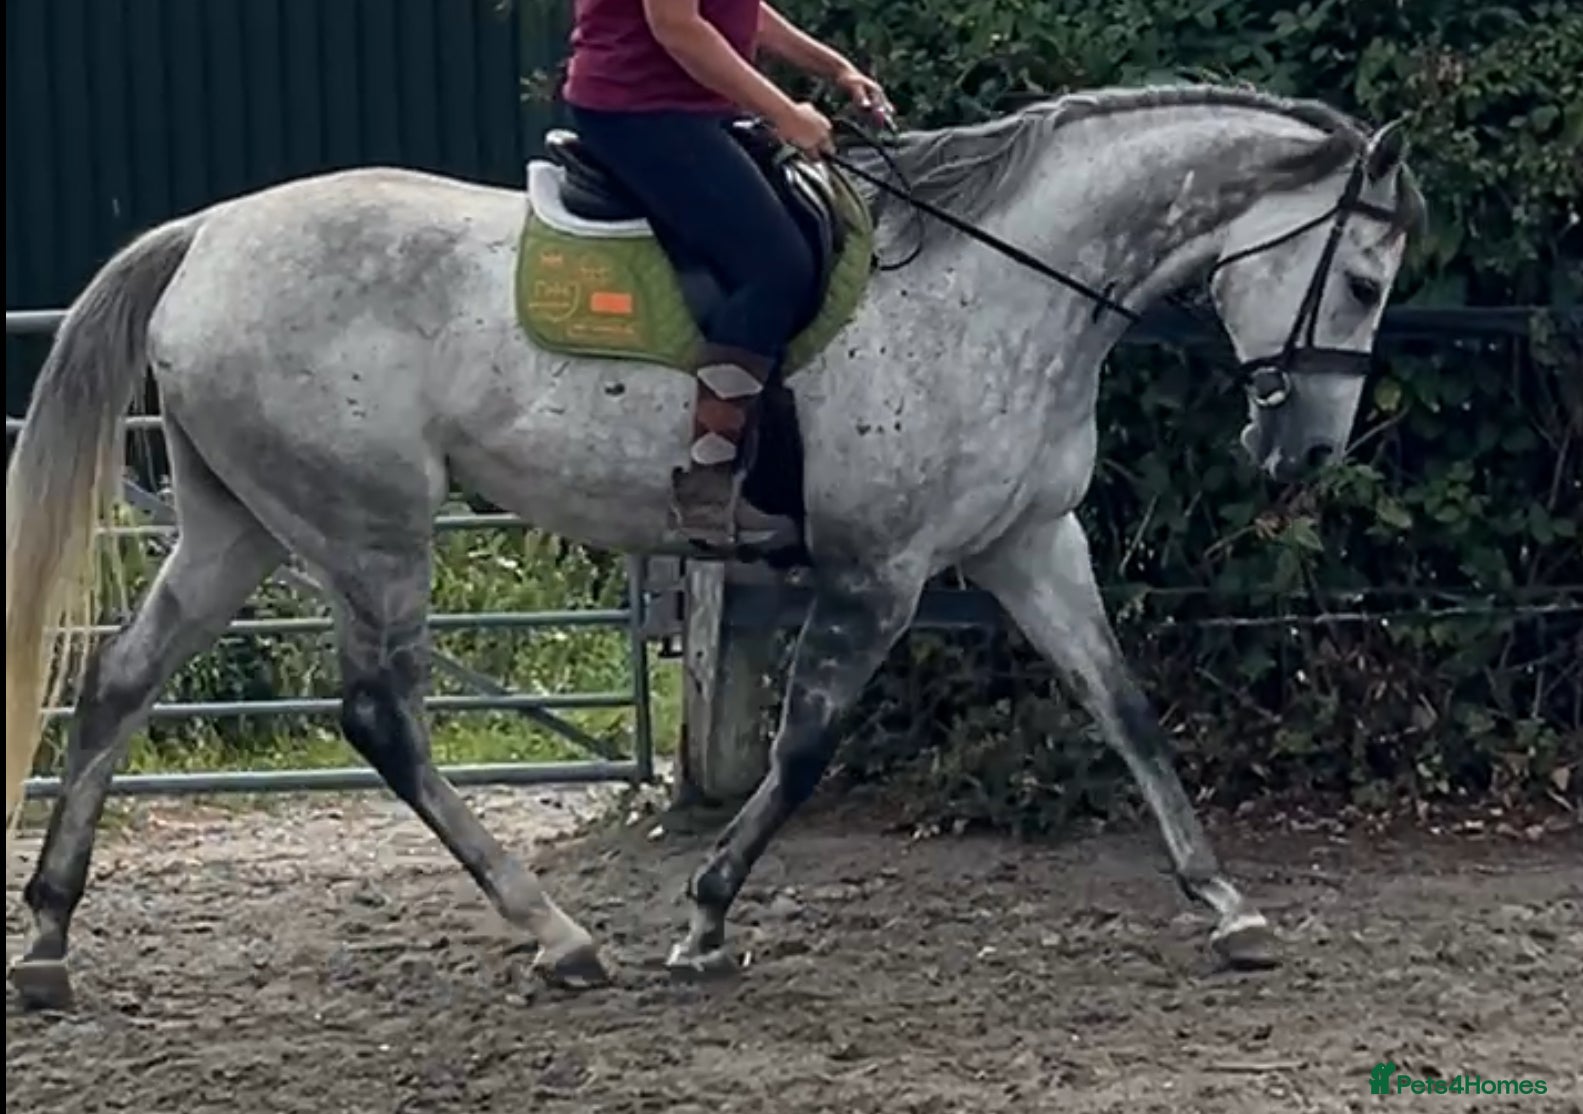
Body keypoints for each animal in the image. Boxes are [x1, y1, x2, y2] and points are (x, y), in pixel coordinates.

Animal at [5, 83, 1423, 1009]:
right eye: (1359, 281)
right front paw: (703, 918)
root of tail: (207, 233)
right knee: (379, 719)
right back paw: (560, 935)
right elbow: (801, 750)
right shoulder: (877, 572)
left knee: (118, 684)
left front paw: (1228, 907)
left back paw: (51, 939)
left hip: (240, 525)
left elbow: (1124, 708)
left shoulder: (1031, 541)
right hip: (371, 534)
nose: (1300, 450)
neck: (993, 284)